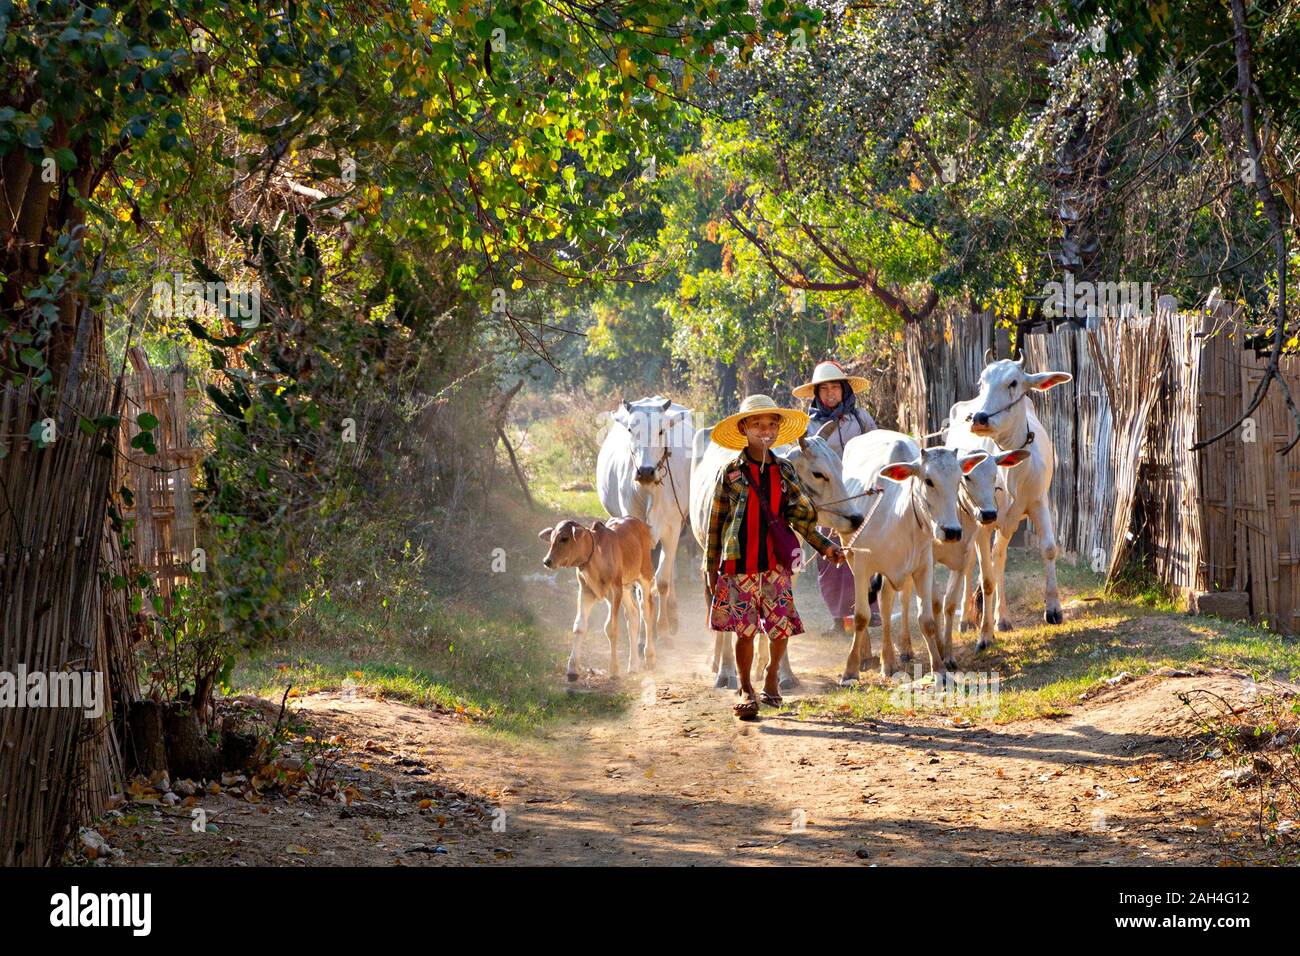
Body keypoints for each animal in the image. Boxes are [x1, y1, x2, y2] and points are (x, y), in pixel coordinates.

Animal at [538, 515, 660, 681]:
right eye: (551, 539)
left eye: (564, 538)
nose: (547, 561)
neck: (595, 555)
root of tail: (639, 522)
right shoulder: (586, 592)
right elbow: (579, 626)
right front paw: (572, 670)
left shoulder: (614, 592)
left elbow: (611, 628)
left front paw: (614, 670)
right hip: (625, 588)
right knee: (633, 615)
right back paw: (633, 665)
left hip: (645, 575)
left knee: (647, 612)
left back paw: (650, 657)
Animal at [598, 395, 696, 642]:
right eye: (631, 429)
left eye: (661, 431)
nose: (645, 471)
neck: (649, 491)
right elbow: (640, 587)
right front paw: (643, 635)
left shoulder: (672, 529)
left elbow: (662, 581)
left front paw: (663, 630)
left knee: (667, 573)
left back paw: (672, 615)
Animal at [691, 424, 863, 686]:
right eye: (818, 474)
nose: (856, 518)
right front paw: (727, 671)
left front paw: (784, 672)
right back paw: (718, 661)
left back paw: (759, 664)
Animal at [837, 429, 987, 686]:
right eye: (928, 480)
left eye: (959, 480)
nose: (952, 531)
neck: (898, 516)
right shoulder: (862, 564)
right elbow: (861, 616)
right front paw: (850, 670)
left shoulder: (923, 566)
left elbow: (926, 620)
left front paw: (939, 668)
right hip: (850, 555)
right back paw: (870, 655)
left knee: (888, 603)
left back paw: (893, 657)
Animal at [951, 358, 1071, 634]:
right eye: (982, 381)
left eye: (1013, 382)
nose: (979, 418)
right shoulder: (983, 520)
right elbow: (983, 571)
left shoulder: (1038, 503)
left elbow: (1049, 549)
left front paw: (1054, 609)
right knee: (970, 561)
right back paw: (966, 619)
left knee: (999, 557)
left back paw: (1002, 617)